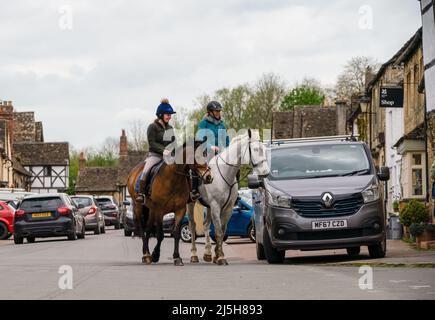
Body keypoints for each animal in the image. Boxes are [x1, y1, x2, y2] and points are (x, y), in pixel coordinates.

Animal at [186, 128, 270, 264]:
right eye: (256, 149)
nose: (266, 172)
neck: (224, 174)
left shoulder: (228, 208)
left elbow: (223, 229)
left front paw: (217, 254)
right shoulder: (216, 206)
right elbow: (219, 232)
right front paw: (220, 257)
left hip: (208, 206)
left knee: (206, 225)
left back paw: (207, 253)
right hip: (191, 203)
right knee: (192, 225)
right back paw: (194, 255)